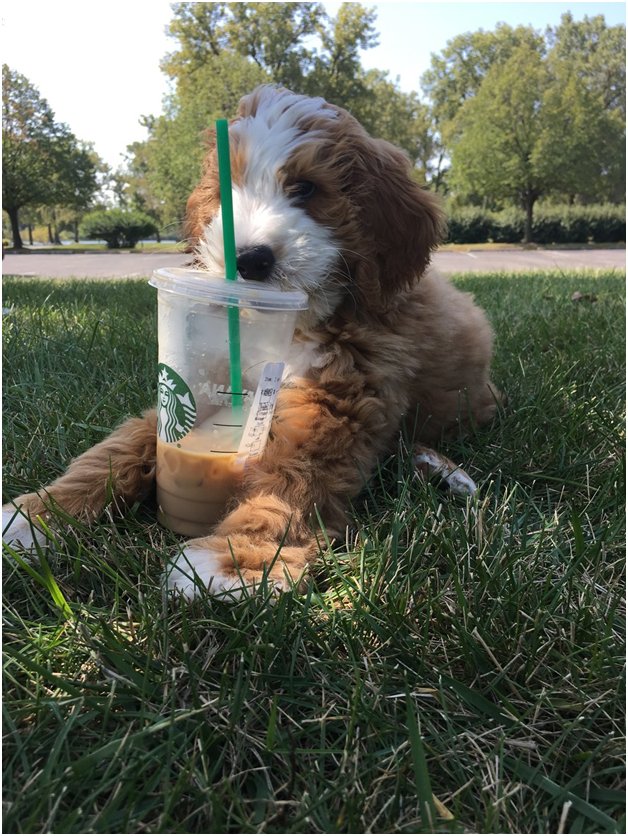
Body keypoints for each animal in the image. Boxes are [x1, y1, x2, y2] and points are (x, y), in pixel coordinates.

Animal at [1, 85, 500, 596]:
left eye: (306, 188)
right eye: (226, 191)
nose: (249, 258)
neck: (289, 326)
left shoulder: (339, 402)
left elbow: (288, 477)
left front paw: (235, 558)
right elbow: (122, 445)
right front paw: (38, 515)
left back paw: (442, 469)